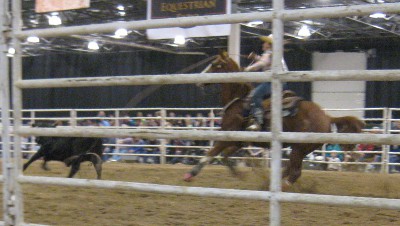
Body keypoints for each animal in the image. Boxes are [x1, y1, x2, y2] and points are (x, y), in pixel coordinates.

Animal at [184, 51, 366, 185]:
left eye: (215, 64)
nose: (199, 80)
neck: (239, 100)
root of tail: (327, 118)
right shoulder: (238, 141)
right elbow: (225, 157)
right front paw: (240, 175)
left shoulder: (227, 135)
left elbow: (210, 155)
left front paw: (190, 174)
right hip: (301, 150)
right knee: (289, 170)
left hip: (299, 148)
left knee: (295, 172)